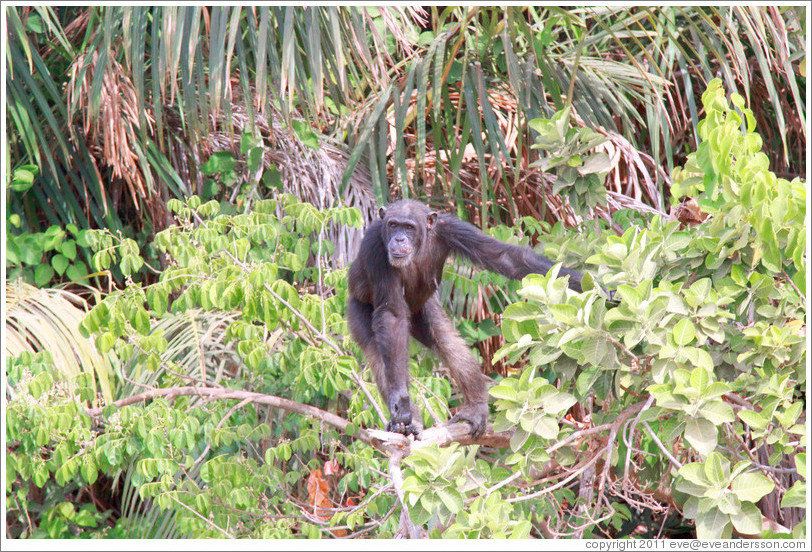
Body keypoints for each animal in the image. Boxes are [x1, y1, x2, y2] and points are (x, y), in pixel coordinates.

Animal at [346, 201, 588, 438]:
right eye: (393, 225)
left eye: (408, 227)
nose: (398, 239)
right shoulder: (374, 246)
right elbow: (392, 314)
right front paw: (399, 400)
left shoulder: (453, 229)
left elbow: (506, 258)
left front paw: (588, 282)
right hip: (357, 307)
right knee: (379, 351)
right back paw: (407, 422)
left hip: (423, 310)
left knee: (446, 342)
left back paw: (475, 410)